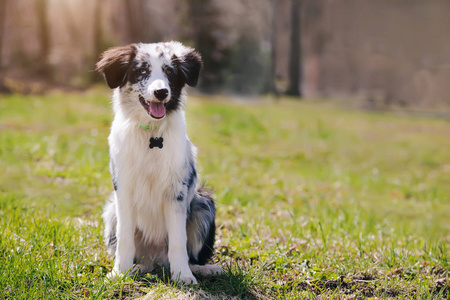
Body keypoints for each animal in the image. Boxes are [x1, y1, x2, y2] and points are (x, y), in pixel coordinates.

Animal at [96, 41, 222, 284]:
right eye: (142, 71)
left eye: (169, 72)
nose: (161, 92)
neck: (151, 135)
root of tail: (156, 260)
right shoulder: (123, 189)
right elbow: (125, 239)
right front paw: (119, 273)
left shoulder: (176, 191)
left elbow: (178, 241)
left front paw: (183, 276)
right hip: (111, 212)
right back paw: (134, 268)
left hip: (203, 203)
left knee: (191, 255)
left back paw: (204, 269)